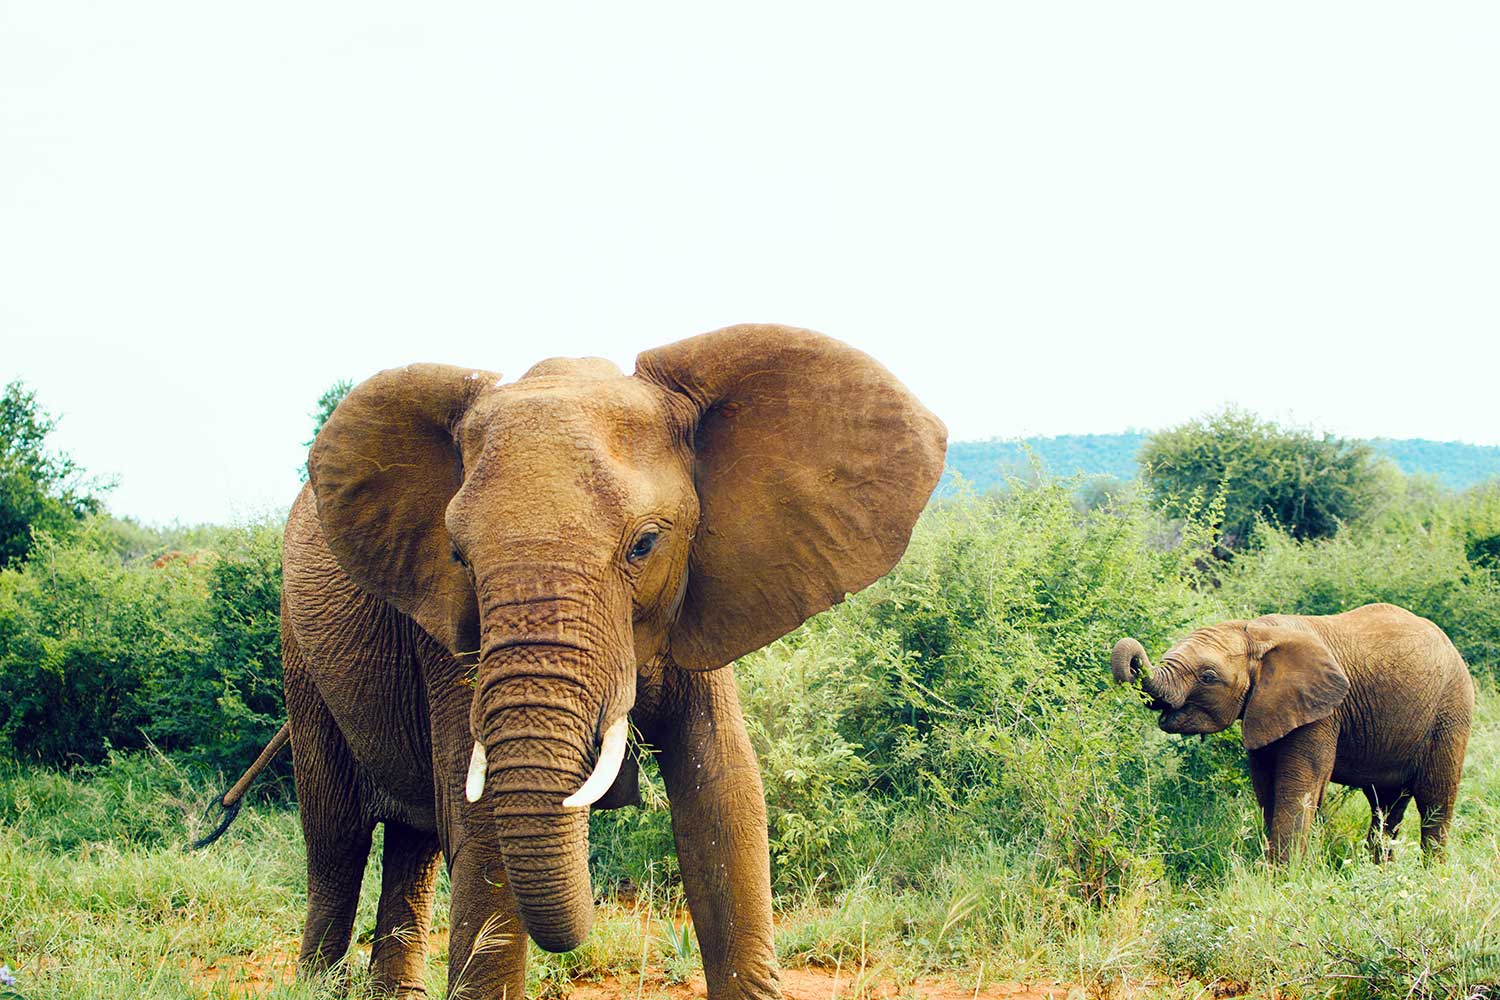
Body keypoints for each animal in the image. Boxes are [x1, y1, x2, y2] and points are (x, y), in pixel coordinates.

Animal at [273, 325, 946, 998]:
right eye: (459, 557)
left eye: (645, 544)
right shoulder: (446, 628)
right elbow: (481, 824)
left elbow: (723, 797)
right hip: (300, 657)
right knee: (336, 839)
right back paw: (315, 980)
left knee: (411, 843)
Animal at [1111, 603, 1473, 862]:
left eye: (1208, 677)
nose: (1134, 660)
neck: (1256, 632)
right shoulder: (1265, 706)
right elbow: (1266, 786)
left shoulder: (1323, 713)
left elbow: (1297, 785)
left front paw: (1283, 878)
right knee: (1386, 805)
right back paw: (1379, 873)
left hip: (1450, 712)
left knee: (1434, 800)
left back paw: (1431, 876)